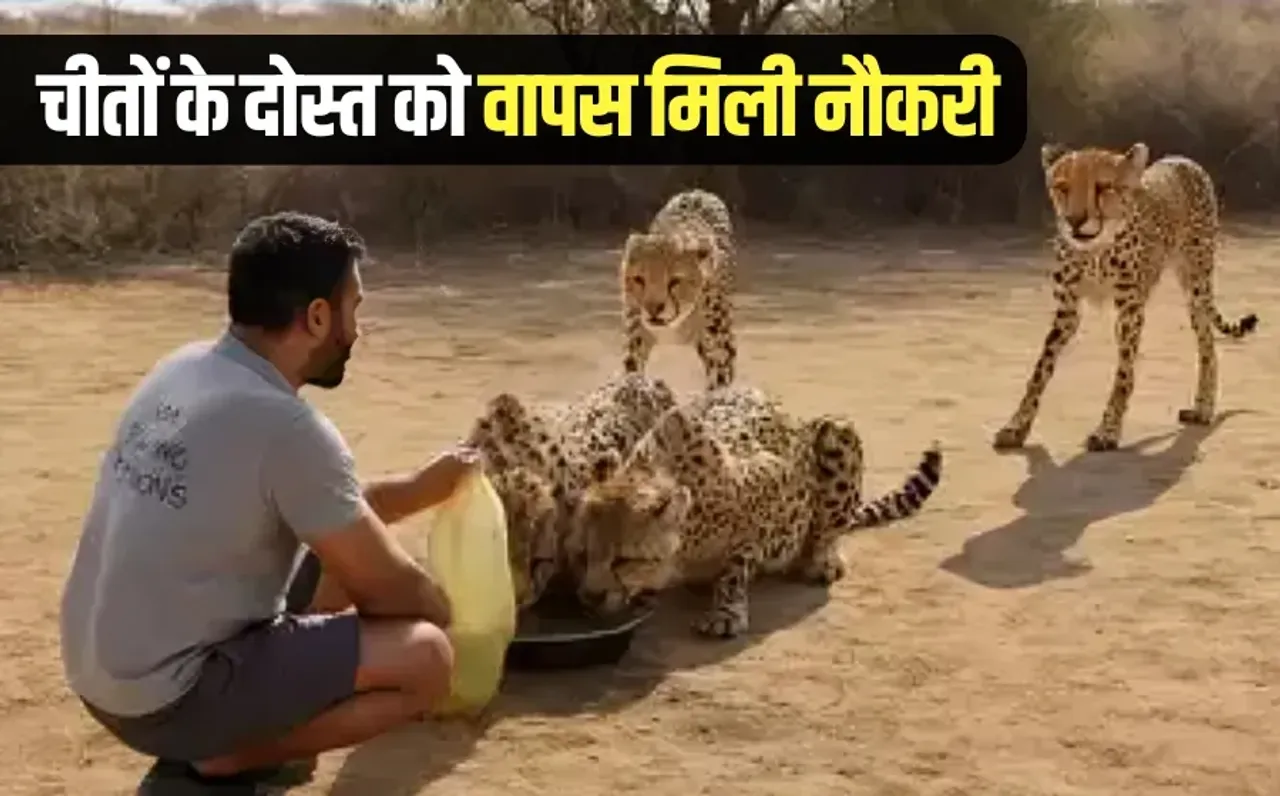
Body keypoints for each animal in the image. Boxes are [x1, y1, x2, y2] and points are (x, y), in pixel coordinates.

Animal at [566, 385, 943, 639]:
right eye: (582, 555)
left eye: (623, 560)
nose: (588, 597)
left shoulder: (770, 491)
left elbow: (737, 562)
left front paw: (726, 610)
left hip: (836, 431)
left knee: (830, 528)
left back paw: (822, 559)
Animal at [619, 188, 737, 391]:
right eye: (639, 279)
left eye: (675, 281)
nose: (653, 309)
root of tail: (696, 191)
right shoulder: (636, 333)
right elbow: (632, 367)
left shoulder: (720, 343)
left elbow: (720, 378)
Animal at [994, 142, 1259, 453]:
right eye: (1062, 187)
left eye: (1103, 186)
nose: (1074, 221)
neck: (1097, 249)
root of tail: (1183, 160)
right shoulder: (1068, 308)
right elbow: (1041, 368)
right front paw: (1016, 426)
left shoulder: (1129, 310)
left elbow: (1123, 374)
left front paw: (1108, 430)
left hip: (1197, 284)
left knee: (1207, 347)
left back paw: (1203, 409)